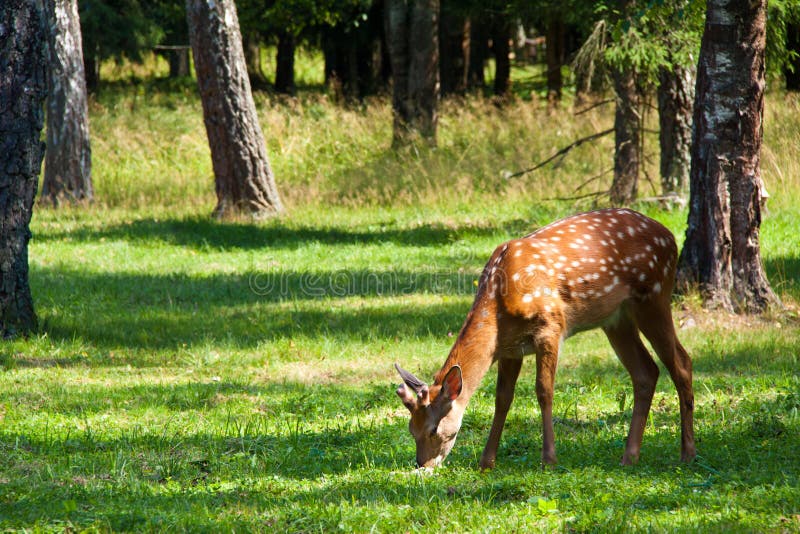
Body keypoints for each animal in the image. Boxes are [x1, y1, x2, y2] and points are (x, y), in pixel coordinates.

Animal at [396, 209, 696, 468]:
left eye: (434, 429)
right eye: (411, 428)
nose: (422, 464)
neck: (500, 302)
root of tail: (669, 236)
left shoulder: (551, 326)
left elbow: (544, 390)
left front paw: (549, 458)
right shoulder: (510, 348)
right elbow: (502, 398)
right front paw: (486, 462)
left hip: (654, 295)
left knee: (681, 362)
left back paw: (687, 453)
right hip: (616, 319)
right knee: (646, 371)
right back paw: (630, 456)